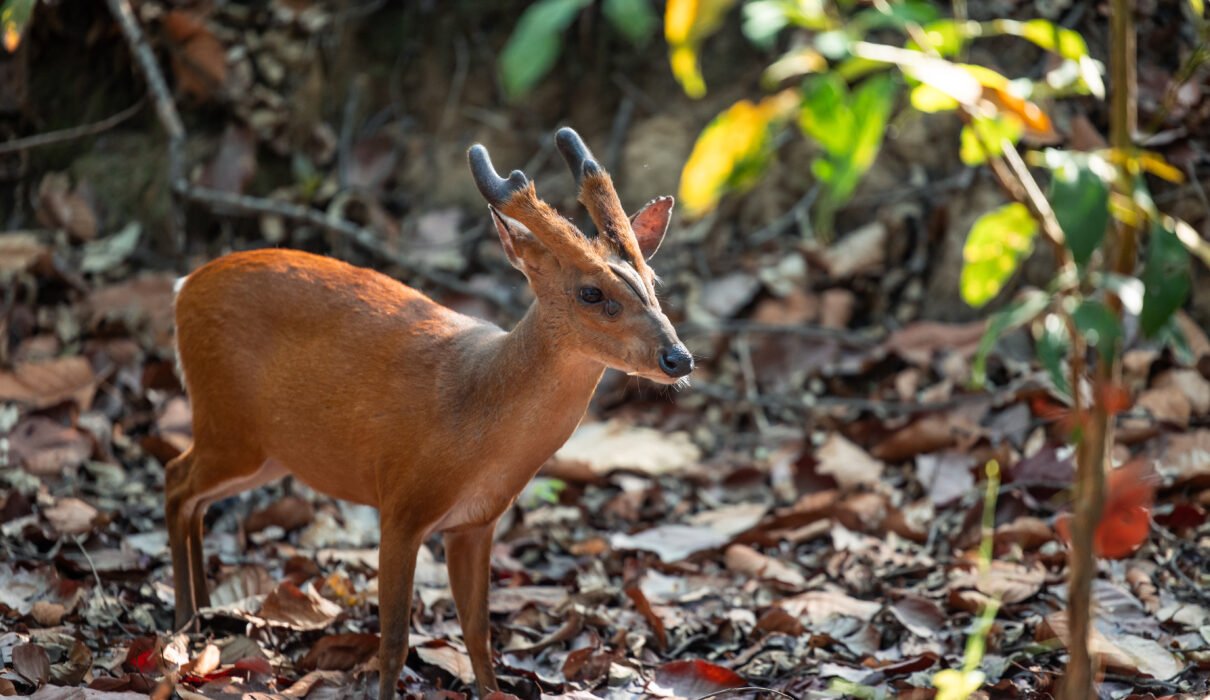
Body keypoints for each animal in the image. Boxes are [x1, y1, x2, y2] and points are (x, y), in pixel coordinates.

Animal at [165, 127, 693, 697]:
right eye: (591, 292)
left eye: (653, 279)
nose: (678, 358)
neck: (475, 415)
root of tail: (182, 289)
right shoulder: (400, 504)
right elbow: (395, 640)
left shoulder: (476, 523)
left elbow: (479, 632)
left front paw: (493, 690)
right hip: (227, 422)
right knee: (175, 479)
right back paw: (183, 622)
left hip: (267, 451)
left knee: (194, 496)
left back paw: (202, 614)